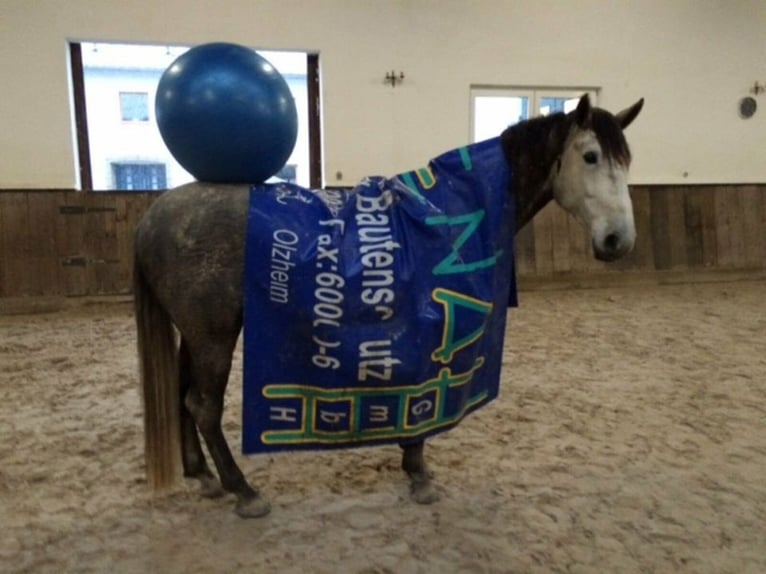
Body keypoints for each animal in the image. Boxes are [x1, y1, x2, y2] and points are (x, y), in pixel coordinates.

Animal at [134, 93, 644, 518]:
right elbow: (424, 395)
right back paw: (243, 491)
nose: (618, 241)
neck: (457, 209)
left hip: (194, 334)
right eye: (590, 155)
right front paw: (418, 472)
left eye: (627, 160)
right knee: (203, 406)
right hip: (213, 334)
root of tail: (154, 217)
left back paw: (203, 476)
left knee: (183, 395)